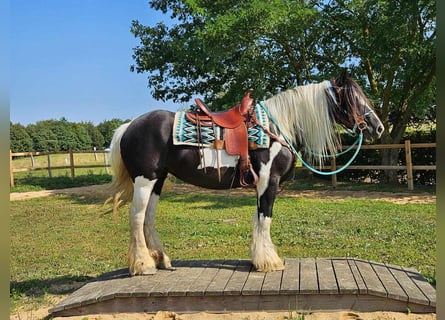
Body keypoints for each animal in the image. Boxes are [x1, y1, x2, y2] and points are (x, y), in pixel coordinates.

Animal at [109, 74, 384, 276]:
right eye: (353, 99)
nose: (378, 128)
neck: (278, 129)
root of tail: (129, 126)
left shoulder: (261, 185)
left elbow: (258, 218)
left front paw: (258, 259)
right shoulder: (269, 182)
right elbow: (265, 218)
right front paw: (270, 262)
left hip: (158, 180)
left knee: (148, 217)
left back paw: (161, 260)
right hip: (145, 180)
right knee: (137, 217)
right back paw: (144, 265)